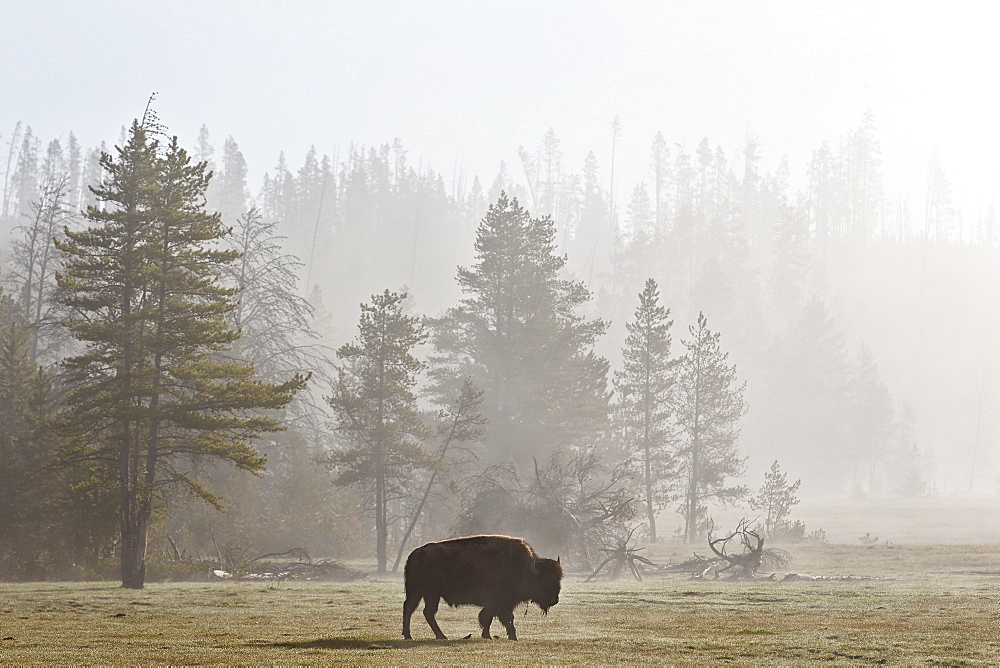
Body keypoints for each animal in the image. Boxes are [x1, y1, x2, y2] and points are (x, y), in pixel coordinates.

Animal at [404, 536, 564, 640]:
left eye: (559, 579)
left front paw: (509, 636)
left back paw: (410, 635)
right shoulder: (498, 602)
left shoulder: (506, 603)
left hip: (419, 593)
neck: (521, 567)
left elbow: (502, 618)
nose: (554, 600)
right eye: (544, 580)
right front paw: (493, 636)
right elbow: (490, 616)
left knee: (413, 609)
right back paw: (439, 636)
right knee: (426, 612)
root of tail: (415, 554)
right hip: (430, 593)